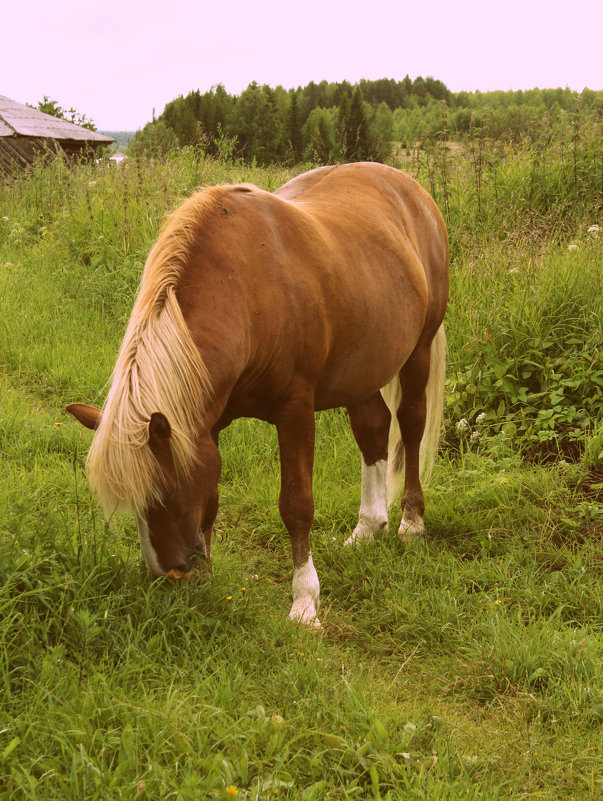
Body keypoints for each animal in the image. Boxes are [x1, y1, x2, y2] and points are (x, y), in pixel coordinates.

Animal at [69, 161, 448, 624]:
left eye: (164, 490)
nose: (170, 574)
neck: (245, 289)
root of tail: (411, 190)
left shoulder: (295, 411)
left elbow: (297, 506)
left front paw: (305, 603)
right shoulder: (205, 425)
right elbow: (210, 500)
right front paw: (207, 584)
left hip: (419, 350)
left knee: (410, 425)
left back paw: (411, 521)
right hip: (361, 366)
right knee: (373, 427)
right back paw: (367, 529)